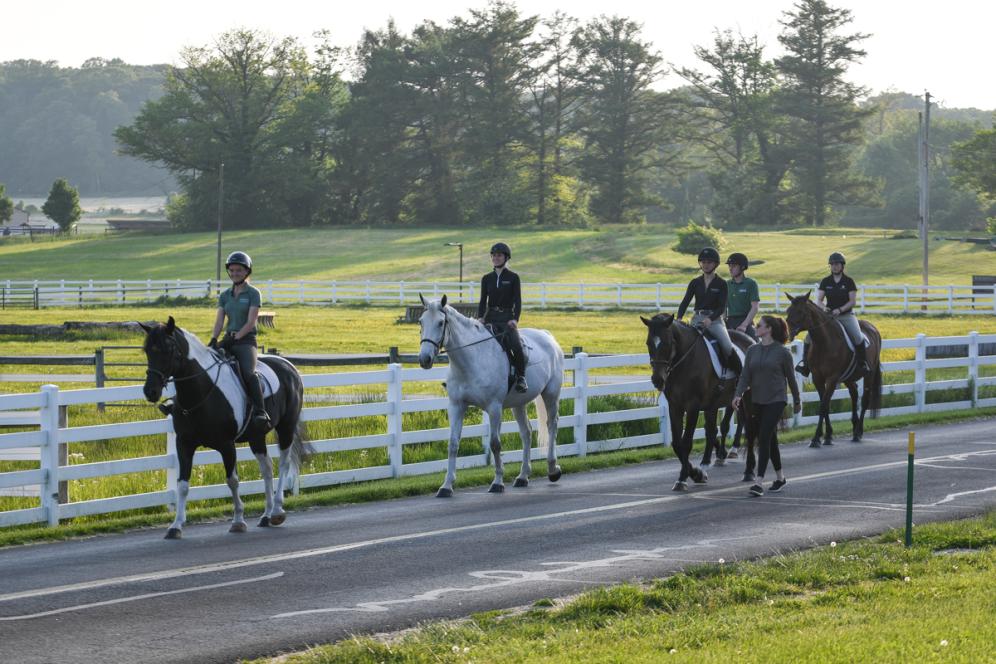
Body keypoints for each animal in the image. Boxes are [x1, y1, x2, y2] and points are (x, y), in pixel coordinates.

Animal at [137, 316, 308, 540]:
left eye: (168, 349)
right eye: (147, 350)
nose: (151, 391)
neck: (201, 393)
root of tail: (289, 366)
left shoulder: (227, 445)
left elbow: (232, 481)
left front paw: (238, 521)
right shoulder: (184, 444)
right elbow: (182, 484)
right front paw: (176, 525)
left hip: (286, 428)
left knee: (283, 464)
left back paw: (278, 511)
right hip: (256, 437)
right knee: (267, 468)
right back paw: (266, 515)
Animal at [416, 296, 564, 498]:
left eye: (440, 322)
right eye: (421, 322)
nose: (425, 359)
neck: (472, 359)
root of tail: (548, 336)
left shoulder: (494, 408)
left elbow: (495, 444)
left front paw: (498, 482)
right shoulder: (456, 406)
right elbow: (453, 444)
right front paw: (446, 486)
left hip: (551, 394)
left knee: (551, 426)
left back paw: (552, 469)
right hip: (518, 404)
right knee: (526, 432)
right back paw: (523, 476)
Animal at [640, 314, 760, 490]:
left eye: (667, 343)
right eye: (649, 343)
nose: (657, 380)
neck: (684, 360)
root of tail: (751, 340)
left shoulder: (693, 407)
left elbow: (686, 442)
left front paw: (683, 479)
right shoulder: (675, 407)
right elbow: (677, 443)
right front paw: (696, 474)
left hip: (746, 400)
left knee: (749, 430)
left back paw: (749, 471)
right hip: (714, 404)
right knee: (711, 432)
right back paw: (706, 464)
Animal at [784, 292, 884, 444]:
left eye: (801, 311)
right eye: (788, 310)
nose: (789, 332)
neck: (823, 342)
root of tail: (873, 328)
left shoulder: (832, 379)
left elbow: (824, 406)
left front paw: (816, 438)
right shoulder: (817, 378)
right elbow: (824, 405)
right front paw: (827, 435)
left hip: (868, 375)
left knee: (864, 400)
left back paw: (858, 432)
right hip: (848, 377)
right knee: (854, 394)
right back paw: (854, 425)